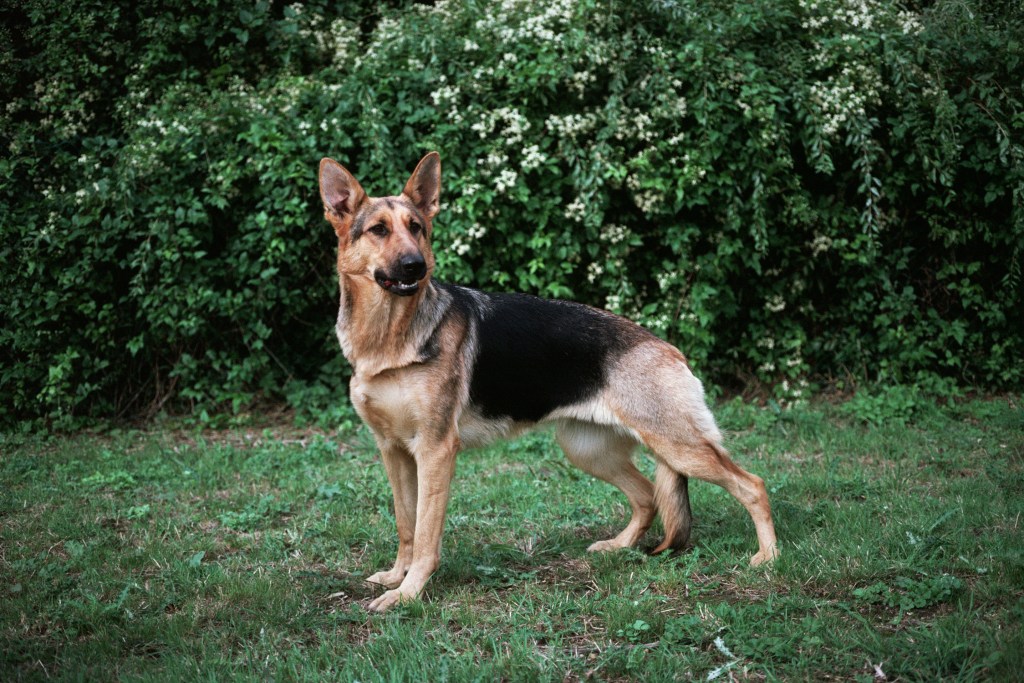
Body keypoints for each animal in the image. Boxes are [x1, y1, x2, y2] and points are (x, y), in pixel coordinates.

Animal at [317, 152, 774, 610]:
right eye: (378, 230)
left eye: (416, 228)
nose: (417, 266)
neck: (390, 339)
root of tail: (667, 347)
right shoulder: (394, 452)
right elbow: (406, 525)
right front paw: (397, 577)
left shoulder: (435, 451)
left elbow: (427, 535)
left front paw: (408, 593)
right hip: (588, 451)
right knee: (647, 496)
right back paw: (619, 546)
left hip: (678, 448)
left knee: (752, 484)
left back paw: (768, 557)